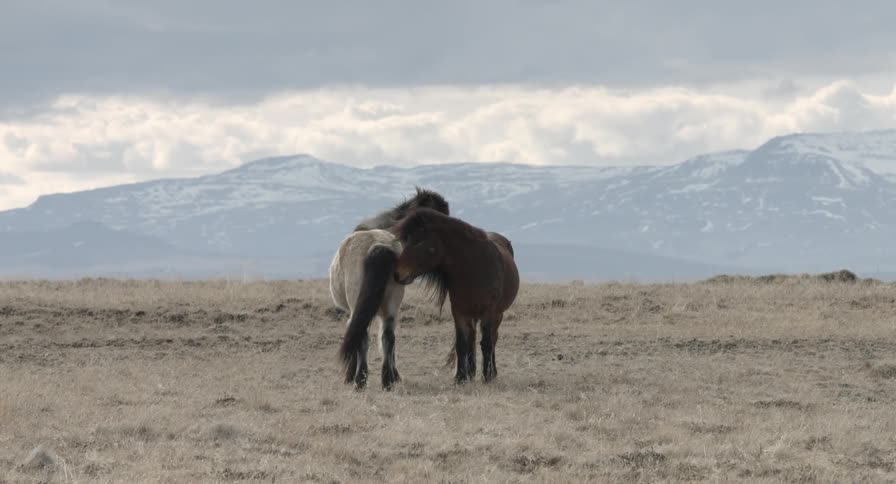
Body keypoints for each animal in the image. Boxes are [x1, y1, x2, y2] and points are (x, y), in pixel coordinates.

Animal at [392, 208, 519, 384]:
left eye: (416, 242)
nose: (397, 274)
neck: (473, 266)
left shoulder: (489, 311)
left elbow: (486, 343)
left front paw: (486, 376)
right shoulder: (459, 311)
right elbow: (462, 344)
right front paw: (461, 377)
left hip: (497, 314)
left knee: (493, 338)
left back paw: (491, 372)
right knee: (473, 338)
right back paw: (472, 372)